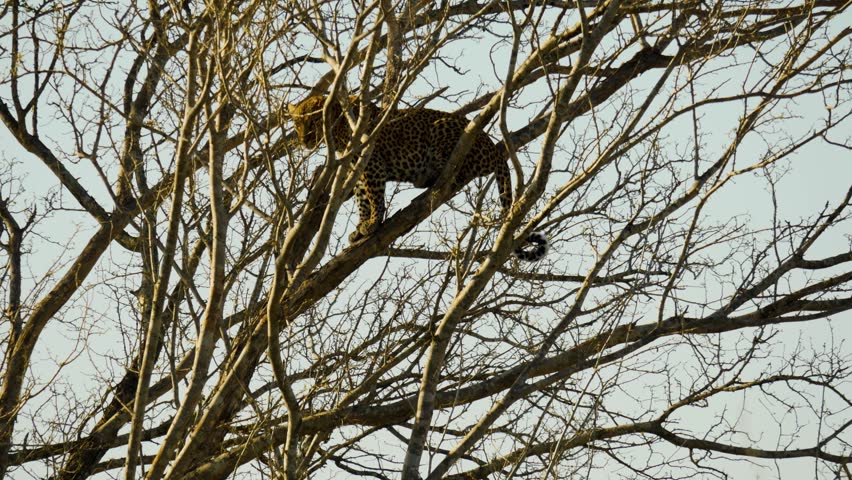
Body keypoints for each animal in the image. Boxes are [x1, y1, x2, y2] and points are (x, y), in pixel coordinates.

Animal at [287, 94, 549, 261]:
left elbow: (375, 198)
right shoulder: (358, 172)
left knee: (459, 168)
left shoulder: (372, 164)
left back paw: (433, 175)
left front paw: (373, 224)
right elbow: (362, 201)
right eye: (297, 123)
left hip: (442, 128)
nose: (303, 140)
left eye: (311, 121)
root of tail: (493, 146)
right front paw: (361, 228)